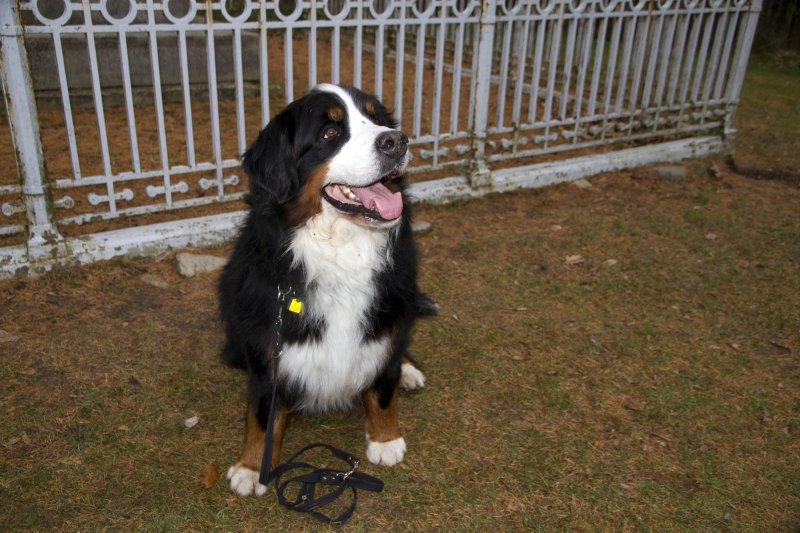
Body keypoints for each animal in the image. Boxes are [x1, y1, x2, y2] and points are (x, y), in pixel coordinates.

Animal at [218, 83, 429, 497]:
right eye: (330, 134)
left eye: (377, 119)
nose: (397, 141)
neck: (340, 249)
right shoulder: (269, 343)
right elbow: (262, 412)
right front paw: (251, 466)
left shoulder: (387, 310)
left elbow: (382, 385)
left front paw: (385, 439)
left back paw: (409, 369)